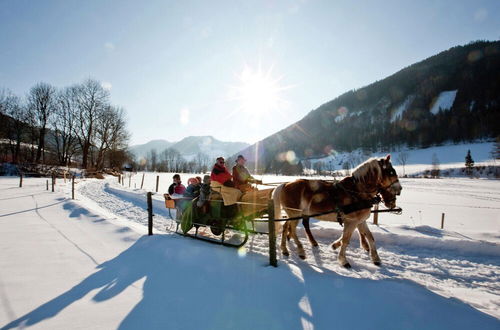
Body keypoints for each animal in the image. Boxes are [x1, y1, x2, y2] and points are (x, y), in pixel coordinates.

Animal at [272, 155, 400, 268]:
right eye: (391, 172)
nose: (399, 190)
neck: (356, 192)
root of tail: (285, 184)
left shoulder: (360, 221)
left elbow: (370, 237)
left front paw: (376, 259)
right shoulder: (351, 221)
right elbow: (346, 240)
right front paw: (343, 261)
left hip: (293, 214)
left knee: (286, 227)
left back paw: (284, 249)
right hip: (295, 213)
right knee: (292, 230)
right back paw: (300, 251)